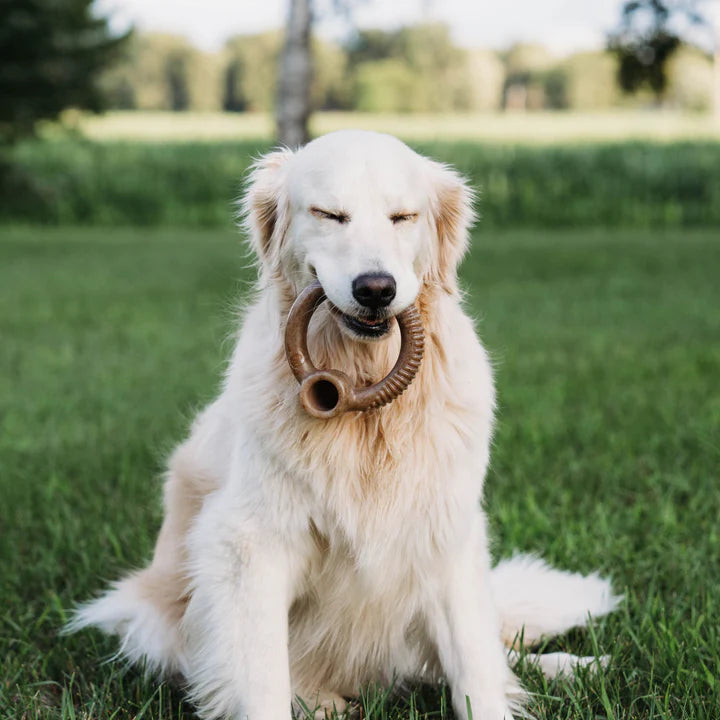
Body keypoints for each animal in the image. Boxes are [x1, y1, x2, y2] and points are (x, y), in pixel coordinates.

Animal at [67, 131, 620, 720]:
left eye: (403, 216)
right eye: (330, 214)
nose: (376, 288)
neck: (366, 398)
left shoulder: (447, 536)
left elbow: (476, 665)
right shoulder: (248, 545)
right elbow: (262, 679)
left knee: (486, 653)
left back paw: (577, 666)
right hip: (156, 624)